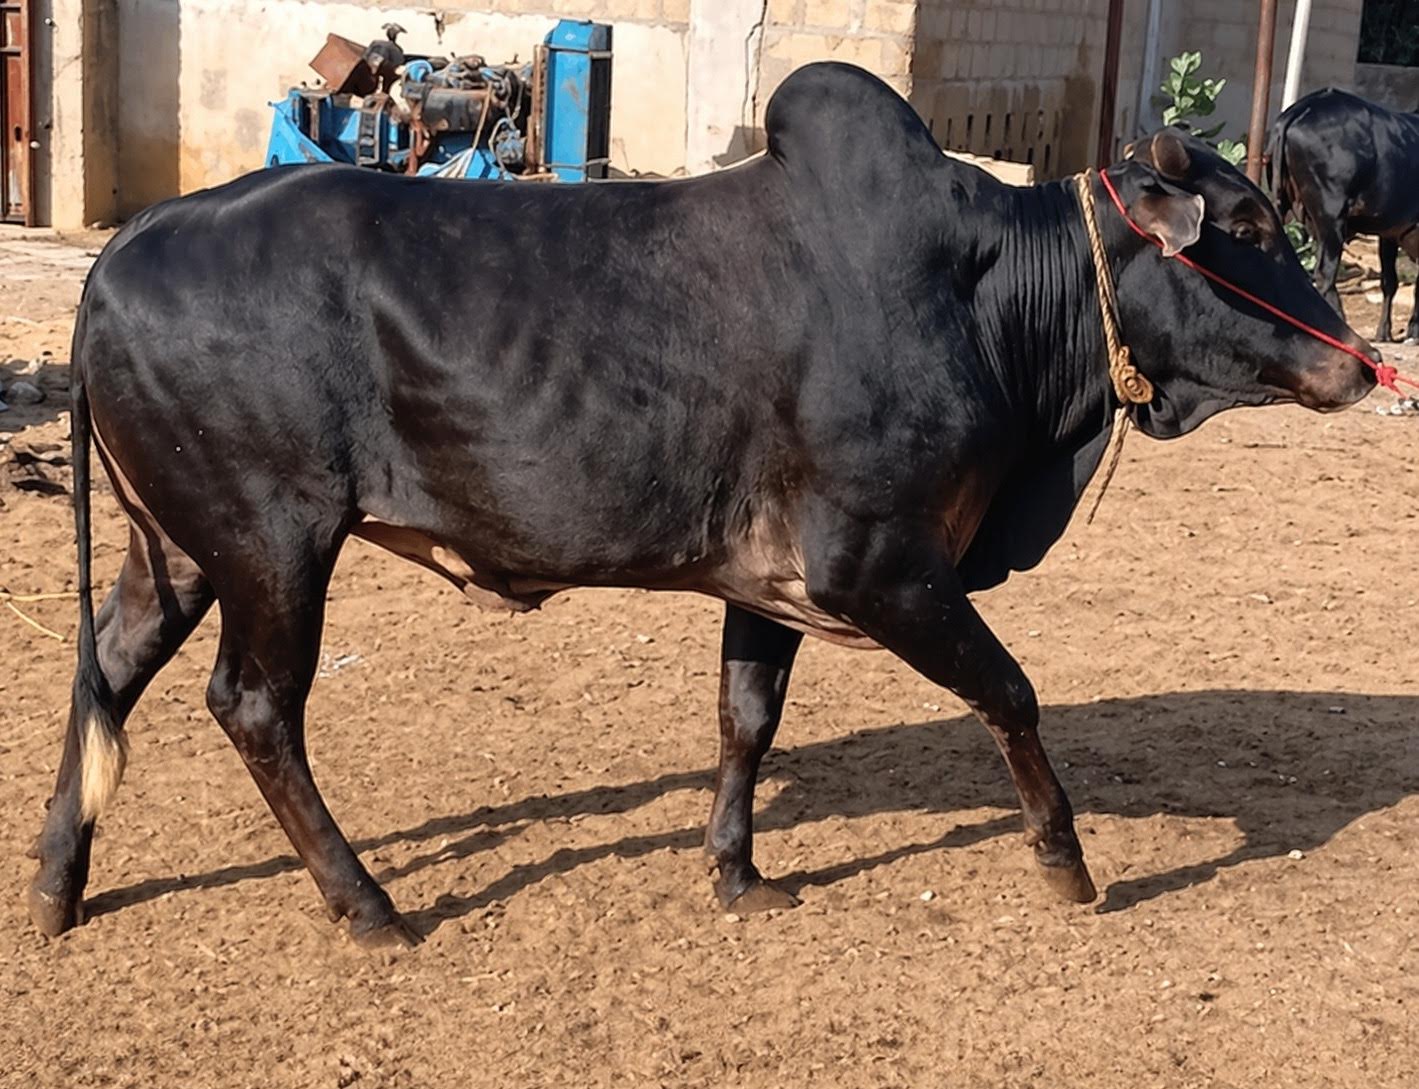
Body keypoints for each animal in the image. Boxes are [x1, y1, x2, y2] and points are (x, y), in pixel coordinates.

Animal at [28, 63, 1376, 949]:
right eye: (1245, 226)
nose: (1360, 363)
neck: (989, 304)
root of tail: (122, 249)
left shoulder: (768, 584)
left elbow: (747, 720)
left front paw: (738, 871)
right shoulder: (881, 566)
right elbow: (1010, 691)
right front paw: (1066, 860)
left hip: (175, 551)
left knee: (106, 673)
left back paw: (56, 884)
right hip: (273, 544)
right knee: (254, 709)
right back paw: (368, 906)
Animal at [1267, 87, 1419, 344]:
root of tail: (1303, 107)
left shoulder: (1389, 233)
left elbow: (1390, 281)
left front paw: (1385, 332)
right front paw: (1413, 331)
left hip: (1281, 205)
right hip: (1331, 218)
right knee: (1324, 275)